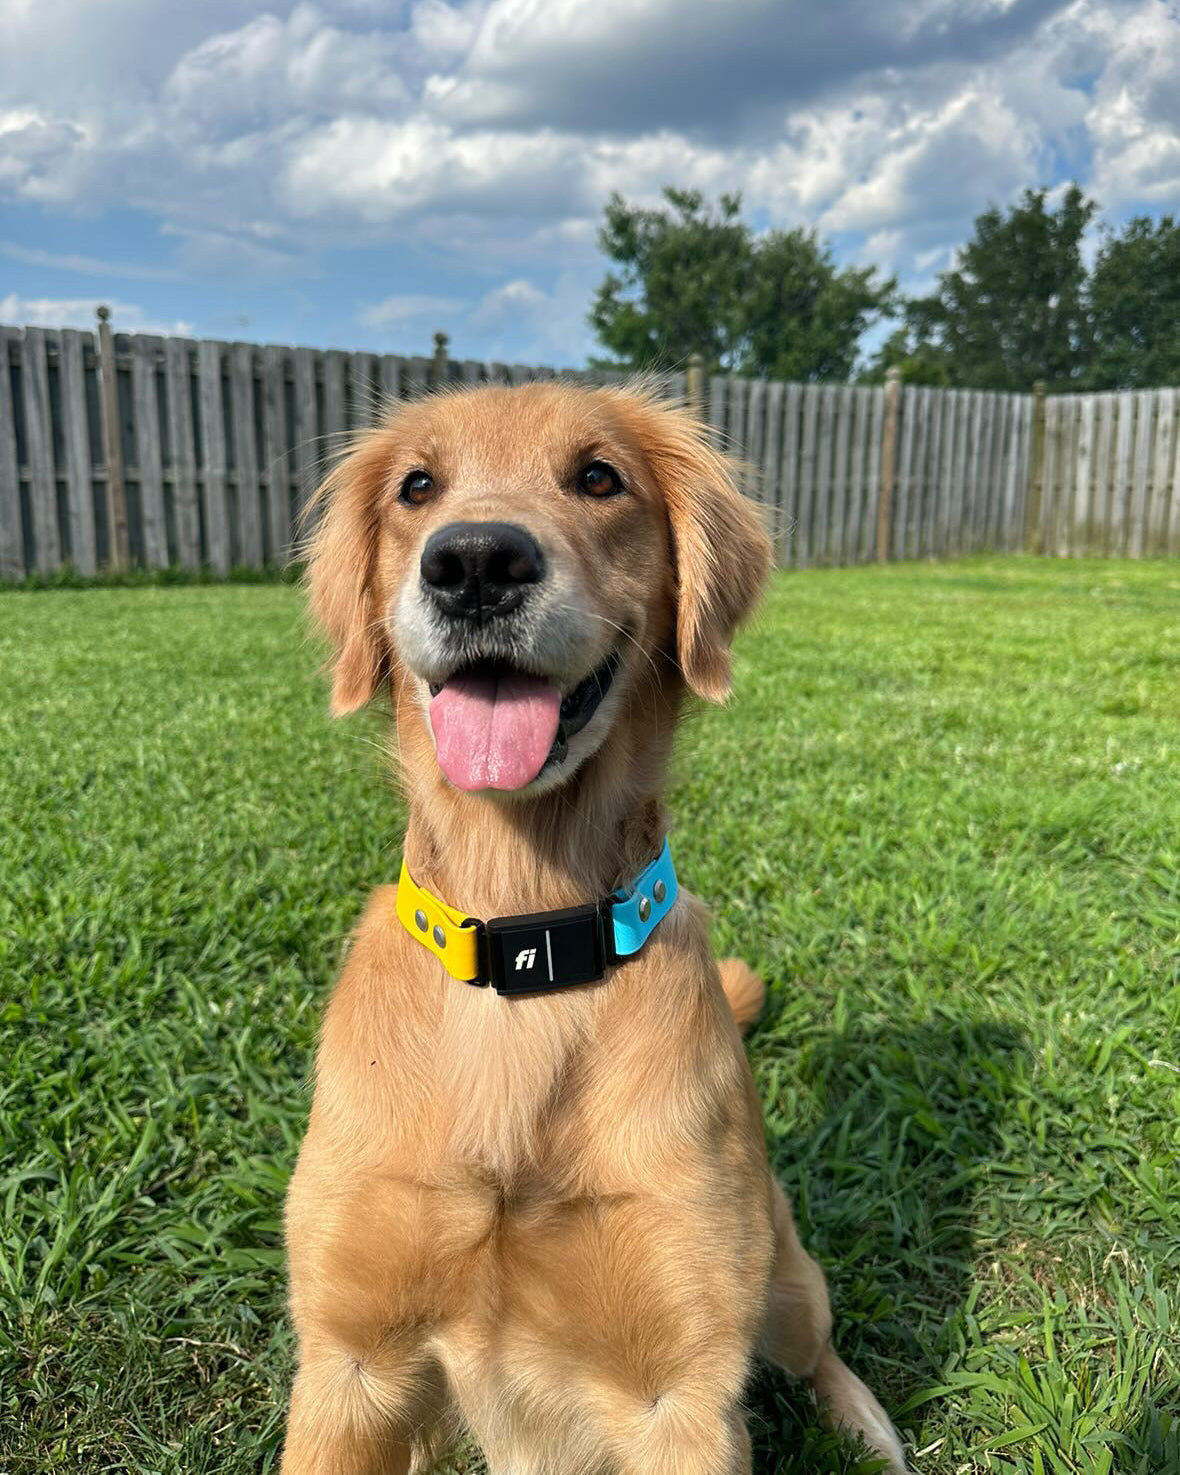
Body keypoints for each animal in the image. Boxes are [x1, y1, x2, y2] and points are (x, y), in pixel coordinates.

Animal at [283, 383, 902, 1475]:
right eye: (416, 486)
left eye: (600, 476)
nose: (474, 563)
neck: (524, 936)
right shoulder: (347, 1363)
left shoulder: (681, 1393)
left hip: (786, 1271)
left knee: (817, 1346)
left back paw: (867, 1423)